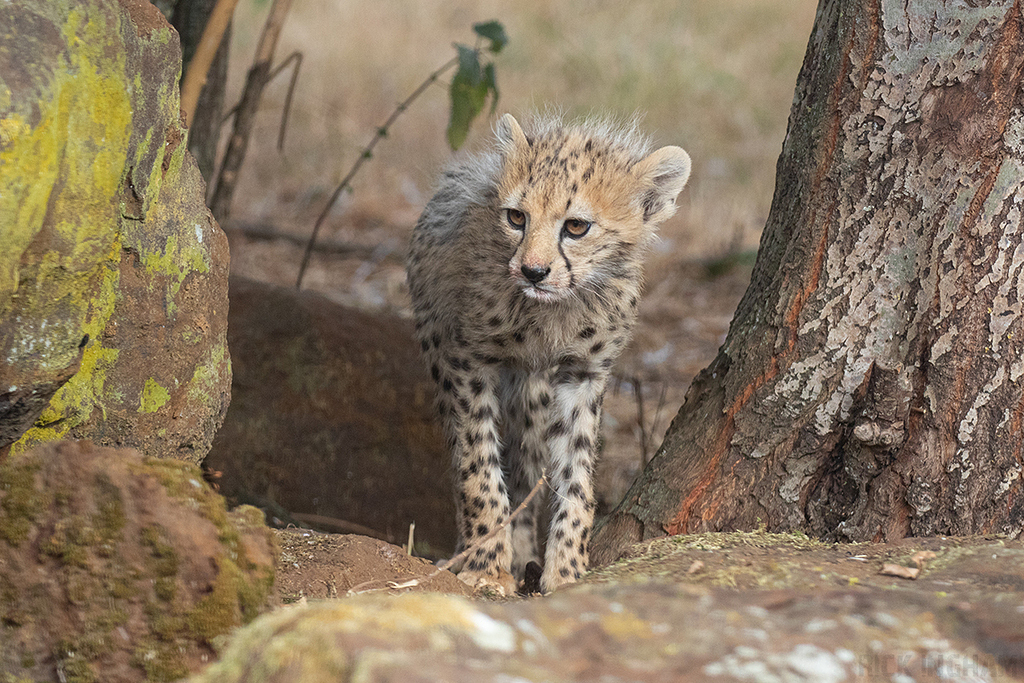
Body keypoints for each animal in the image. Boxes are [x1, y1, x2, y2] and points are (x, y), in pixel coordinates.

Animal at [406, 112, 691, 594]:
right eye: (516, 217)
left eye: (576, 226)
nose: (532, 271)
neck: (552, 312)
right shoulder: (466, 361)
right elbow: (478, 467)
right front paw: (486, 567)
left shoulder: (582, 374)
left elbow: (577, 477)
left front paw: (568, 570)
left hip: (535, 397)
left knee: (526, 468)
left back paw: (523, 554)